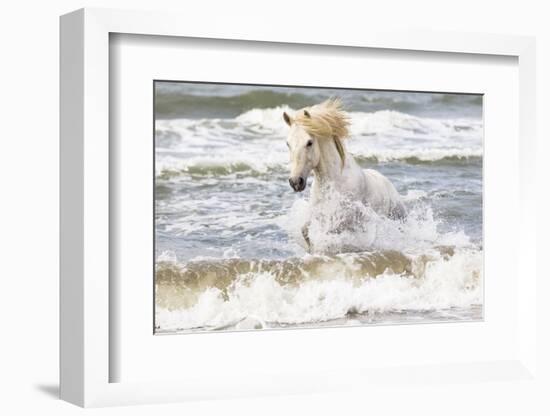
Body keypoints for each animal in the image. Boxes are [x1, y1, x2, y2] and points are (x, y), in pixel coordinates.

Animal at [284, 99, 406, 249]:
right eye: (288, 143)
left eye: (309, 142)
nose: (295, 182)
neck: (335, 182)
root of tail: (387, 183)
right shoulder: (317, 213)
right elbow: (305, 231)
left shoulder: (343, 219)